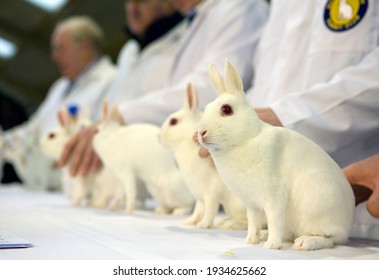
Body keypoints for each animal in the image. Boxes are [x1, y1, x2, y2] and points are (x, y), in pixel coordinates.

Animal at [160, 85, 246, 230]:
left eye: (173, 121)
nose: (158, 136)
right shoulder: (199, 197)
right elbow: (198, 211)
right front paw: (189, 223)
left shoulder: (211, 195)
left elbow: (210, 210)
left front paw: (203, 225)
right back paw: (225, 222)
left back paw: (231, 224)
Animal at [199, 59, 356, 252]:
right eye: (206, 108)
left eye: (226, 109)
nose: (201, 132)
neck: (246, 140)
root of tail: (347, 224)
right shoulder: (252, 204)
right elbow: (253, 222)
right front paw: (250, 241)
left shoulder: (274, 196)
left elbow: (273, 220)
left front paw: (271, 246)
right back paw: (264, 235)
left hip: (320, 212)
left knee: (329, 239)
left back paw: (304, 242)